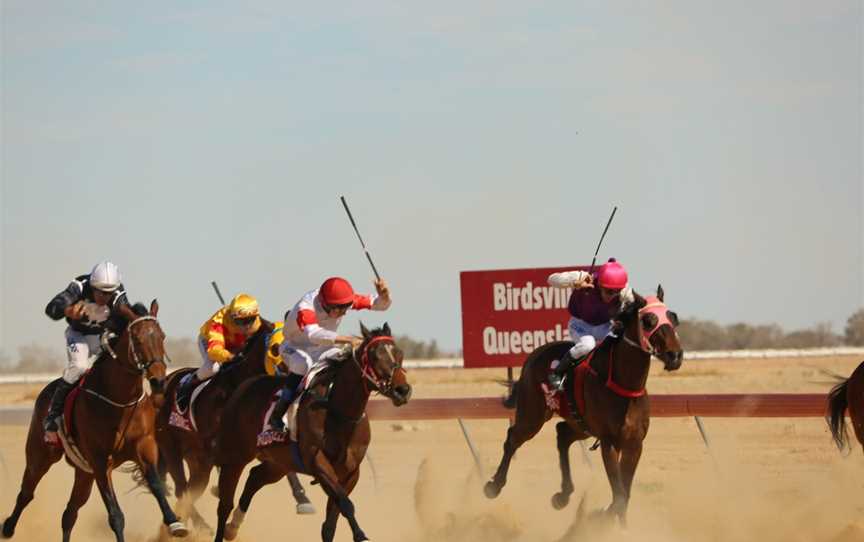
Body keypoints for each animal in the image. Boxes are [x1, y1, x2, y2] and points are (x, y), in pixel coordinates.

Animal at [3, 302, 186, 542]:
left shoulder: (144, 447)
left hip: (84, 472)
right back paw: (8, 528)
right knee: (26, 493)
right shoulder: (100, 462)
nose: (158, 380)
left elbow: (157, 485)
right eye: (137, 339)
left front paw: (175, 522)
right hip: (40, 455)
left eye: (162, 336)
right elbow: (115, 515)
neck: (121, 401)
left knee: (70, 512)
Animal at [157, 318, 316, 532]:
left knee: (190, 490)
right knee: (182, 489)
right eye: (276, 349)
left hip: (195, 458)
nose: (295, 378)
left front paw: (303, 499)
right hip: (171, 447)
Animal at [211, 324, 410, 542]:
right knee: (224, 504)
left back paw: (232, 528)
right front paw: (360, 534)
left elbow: (330, 523)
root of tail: (244, 385)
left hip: (279, 462)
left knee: (255, 477)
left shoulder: (350, 472)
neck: (339, 414)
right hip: (235, 456)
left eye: (399, 353)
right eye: (375, 356)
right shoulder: (318, 463)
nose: (402, 390)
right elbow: (346, 504)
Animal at [486, 286, 680, 528]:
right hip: (533, 415)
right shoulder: (609, 442)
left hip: (580, 423)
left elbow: (624, 495)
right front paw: (598, 518)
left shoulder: (634, 443)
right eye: (648, 321)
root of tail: (534, 354)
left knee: (562, 434)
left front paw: (620, 528)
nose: (675, 355)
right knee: (513, 438)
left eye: (673, 318)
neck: (625, 387)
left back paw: (562, 495)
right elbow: (619, 496)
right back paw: (494, 485)